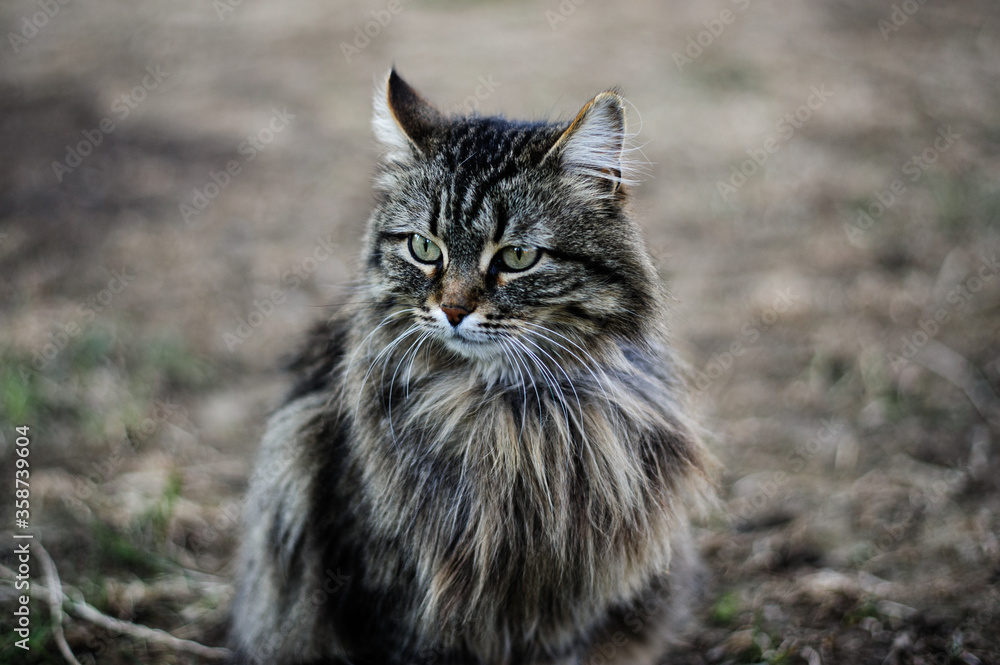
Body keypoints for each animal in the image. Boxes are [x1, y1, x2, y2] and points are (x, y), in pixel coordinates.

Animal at [232, 70, 720, 660]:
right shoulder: (388, 591)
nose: (453, 309)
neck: (511, 414)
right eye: (424, 248)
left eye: (517, 257)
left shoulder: (567, 609)